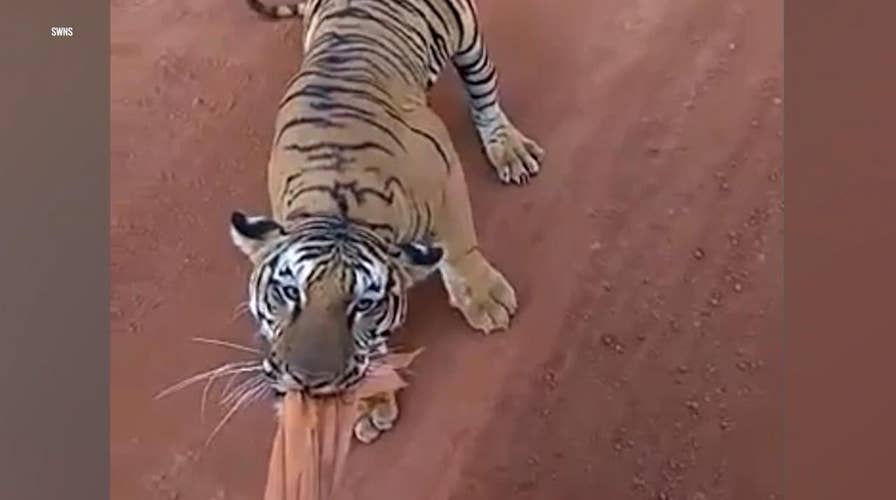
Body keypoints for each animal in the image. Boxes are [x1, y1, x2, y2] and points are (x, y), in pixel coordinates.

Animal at [232, 0, 544, 443]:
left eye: (363, 304)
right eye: (289, 293)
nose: (309, 381)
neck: (337, 208)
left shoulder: (444, 173)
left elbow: (459, 248)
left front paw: (486, 301)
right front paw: (368, 404)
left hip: (467, 37)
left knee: (484, 93)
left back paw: (509, 150)